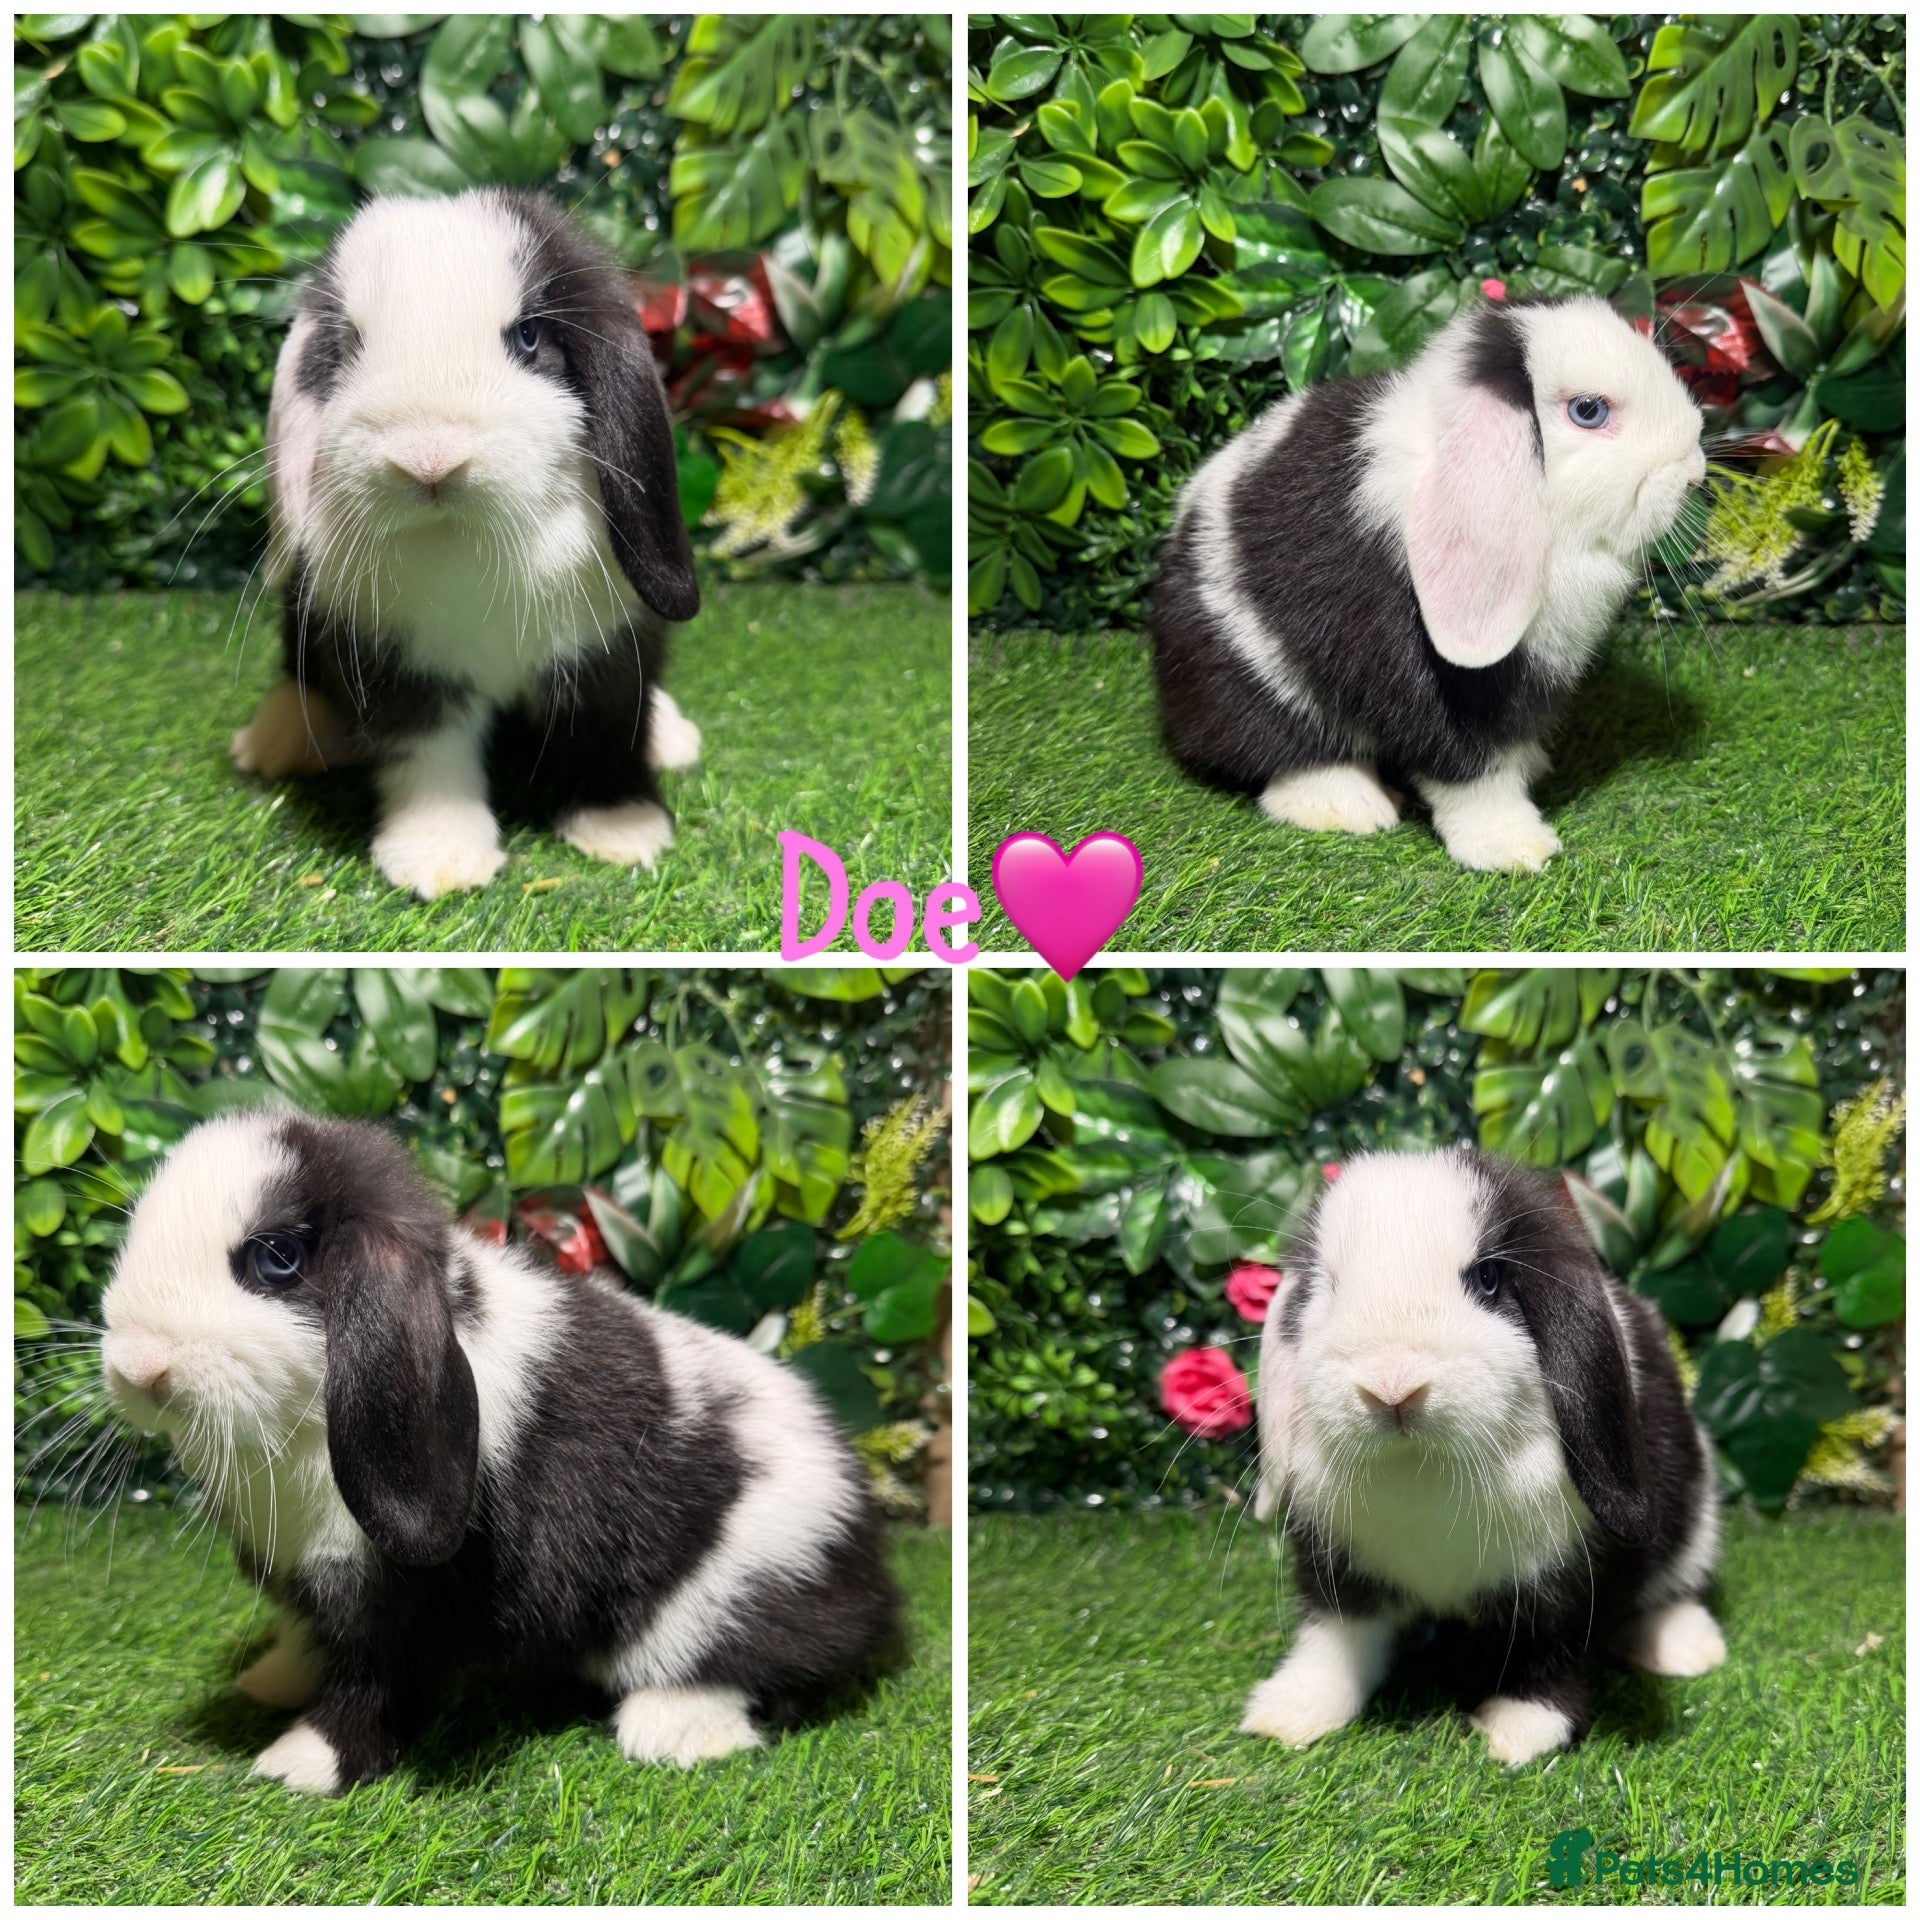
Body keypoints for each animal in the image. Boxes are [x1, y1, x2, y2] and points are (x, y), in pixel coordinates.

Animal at [98, 1114, 900, 1794]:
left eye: (277, 1259)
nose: (140, 1367)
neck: (301, 1429)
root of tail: (868, 1558)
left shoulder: (408, 1605)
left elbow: (377, 1687)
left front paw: (298, 1765)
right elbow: (313, 1638)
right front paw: (269, 1681)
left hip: (737, 1590)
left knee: (755, 1667)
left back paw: (668, 1729)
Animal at [231, 188, 704, 900]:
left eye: (529, 337)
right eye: (348, 346)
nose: (429, 456)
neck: (470, 539)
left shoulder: (609, 653)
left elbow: (605, 730)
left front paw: (623, 831)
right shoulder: (398, 669)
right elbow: (429, 759)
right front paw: (440, 861)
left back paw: (672, 736)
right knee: (296, 663)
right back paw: (279, 742)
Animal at [1149, 295, 1706, 872]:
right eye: (1588, 410)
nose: (1693, 471)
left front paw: (1531, 769)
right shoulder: (1436, 692)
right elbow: (1471, 773)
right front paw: (1514, 848)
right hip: (1252, 685)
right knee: (1283, 750)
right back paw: (1348, 805)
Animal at [1241, 1148, 1725, 1767]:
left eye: (1488, 1279)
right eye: (1327, 1284)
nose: (1391, 1387)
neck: (1422, 1469)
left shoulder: (1566, 1581)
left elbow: (1550, 1646)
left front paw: (1518, 1729)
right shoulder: (1338, 1568)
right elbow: (1336, 1638)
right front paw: (1291, 1712)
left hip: (1697, 1520)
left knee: (1671, 1588)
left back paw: (1685, 1648)